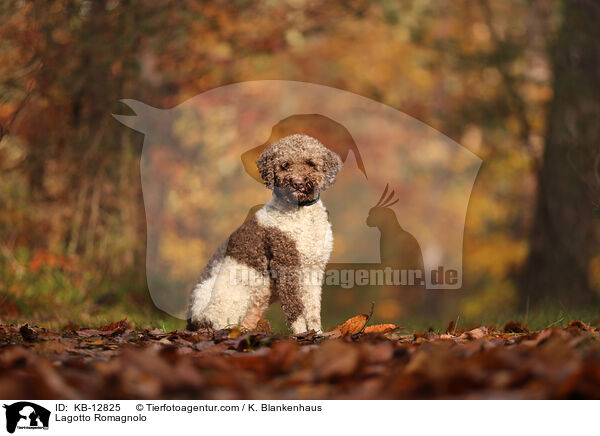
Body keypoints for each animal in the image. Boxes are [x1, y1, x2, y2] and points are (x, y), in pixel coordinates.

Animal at [185, 135, 344, 332]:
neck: (300, 213)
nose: (298, 183)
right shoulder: (285, 265)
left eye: (311, 163)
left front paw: (317, 333)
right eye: (285, 165)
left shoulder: (314, 269)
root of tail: (193, 318)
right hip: (233, 295)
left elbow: (313, 308)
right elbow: (295, 308)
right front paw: (301, 333)